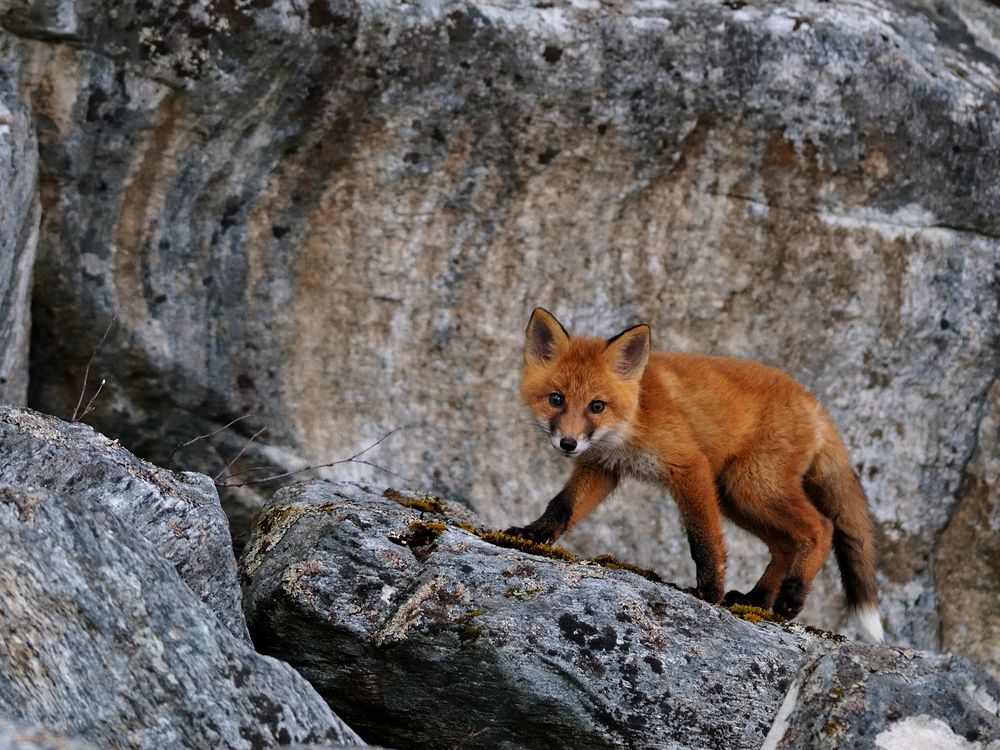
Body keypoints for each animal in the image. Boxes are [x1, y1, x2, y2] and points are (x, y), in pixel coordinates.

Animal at [508, 308, 884, 644]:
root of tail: (815, 403)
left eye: (596, 406)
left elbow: (704, 539)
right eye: (556, 399)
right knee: (785, 544)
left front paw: (710, 592)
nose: (568, 443)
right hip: (736, 498)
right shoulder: (603, 468)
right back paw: (755, 599)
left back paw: (792, 595)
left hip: (751, 488)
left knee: (823, 527)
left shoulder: (689, 467)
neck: (634, 418)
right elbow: (562, 506)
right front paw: (532, 534)